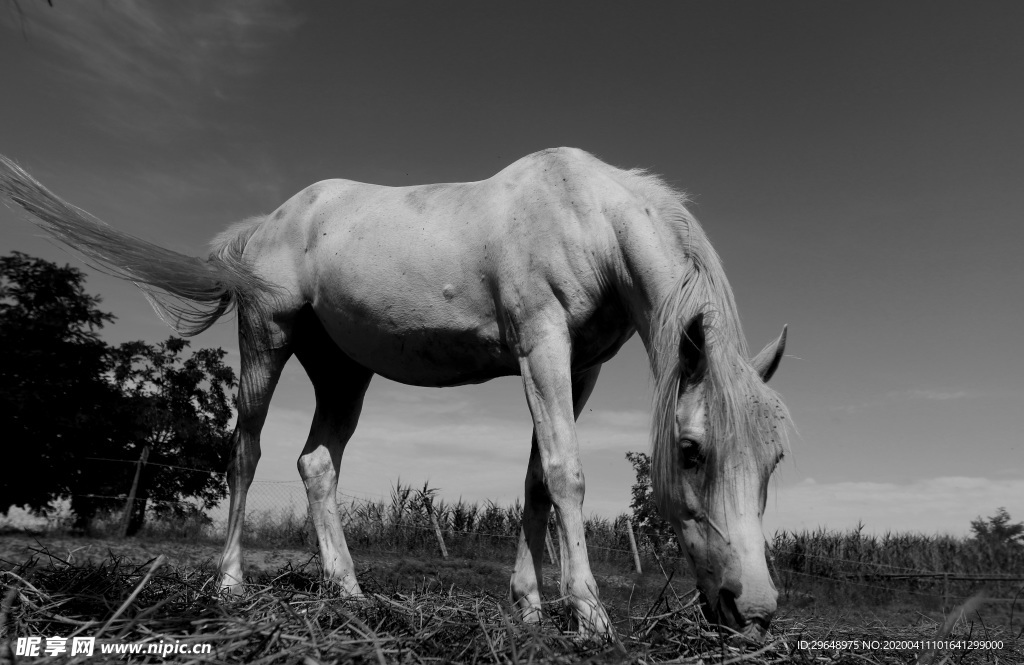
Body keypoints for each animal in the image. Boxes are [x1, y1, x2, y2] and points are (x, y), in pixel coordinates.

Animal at [0, 147, 790, 635]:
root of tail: (271, 222)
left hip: (343, 371)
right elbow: (566, 475)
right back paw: (229, 584)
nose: (753, 609)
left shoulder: (580, 367)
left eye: (776, 461)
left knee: (317, 464)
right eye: (690, 450)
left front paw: (531, 609)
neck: (590, 217)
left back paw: (349, 592)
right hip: (266, 338)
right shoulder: (543, 346)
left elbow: (536, 480)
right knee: (245, 453)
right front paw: (589, 619)